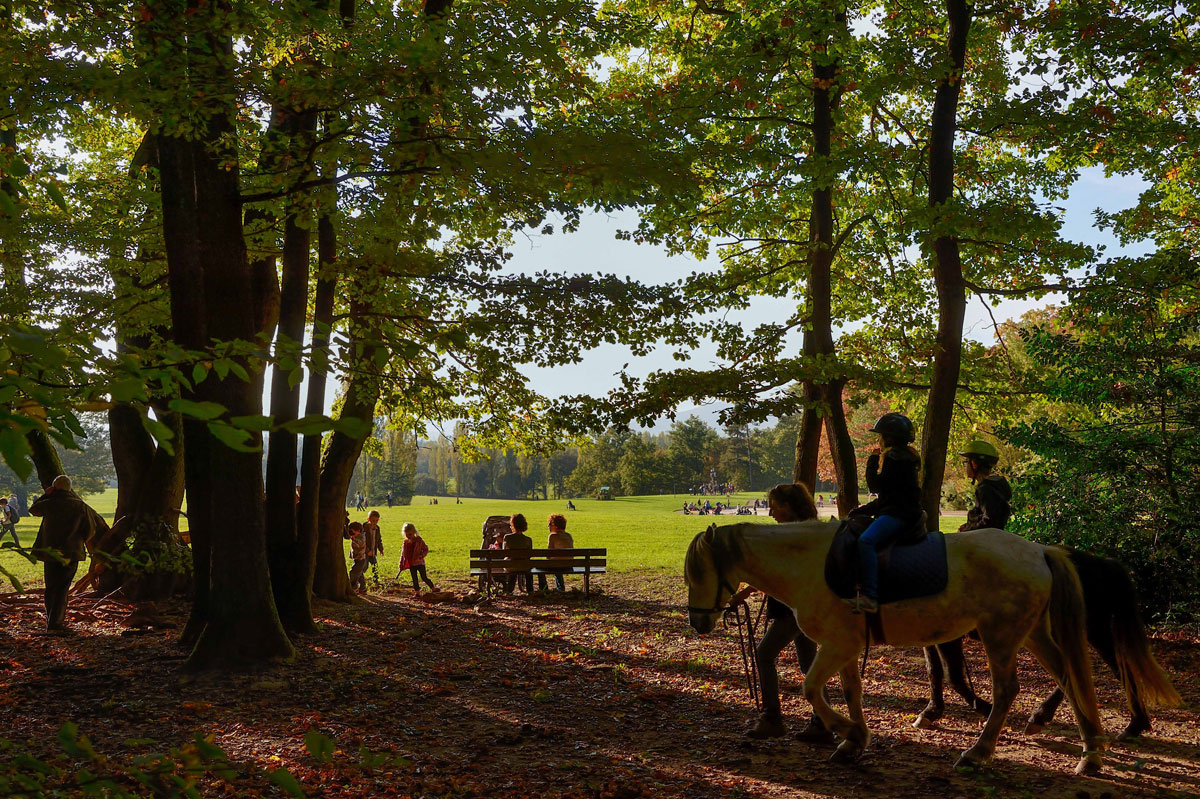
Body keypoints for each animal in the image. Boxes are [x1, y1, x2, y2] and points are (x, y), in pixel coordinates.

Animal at [686, 515, 1104, 772]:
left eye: (698, 572)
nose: (698, 622)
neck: (813, 565)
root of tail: (1038, 551)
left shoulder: (836, 646)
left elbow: (811, 689)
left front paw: (848, 731)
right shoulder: (846, 648)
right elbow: (851, 692)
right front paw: (853, 741)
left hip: (1000, 637)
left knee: (1006, 692)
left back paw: (978, 752)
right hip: (1032, 634)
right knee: (1069, 678)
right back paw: (1091, 751)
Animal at [916, 551, 1180, 739]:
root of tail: (1101, 563)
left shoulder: (949, 638)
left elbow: (954, 676)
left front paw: (983, 707)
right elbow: (934, 672)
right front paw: (931, 711)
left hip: (1090, 631)